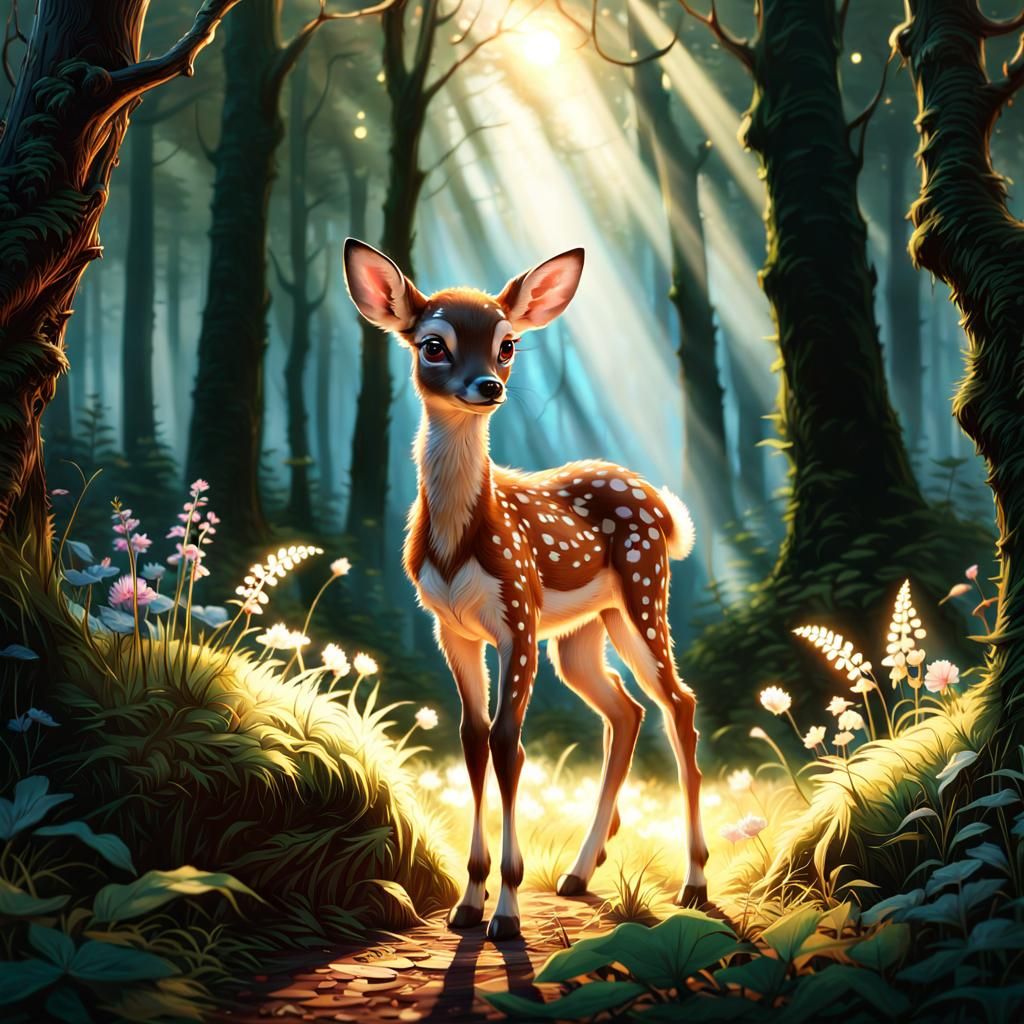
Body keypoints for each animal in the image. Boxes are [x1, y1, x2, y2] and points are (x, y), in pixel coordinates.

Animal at [343, 239, 709, 941]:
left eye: (507, 343)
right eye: (433, 345)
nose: (489, 386)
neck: (459, 543)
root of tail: (663, 506)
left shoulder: (517, 615)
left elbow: (509, 743)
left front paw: (506, 911)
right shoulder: (451, 627)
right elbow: (472, 738)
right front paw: (468, 902)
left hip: (644, 590)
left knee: (679, 702)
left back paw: (696, 881)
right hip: (586, 630)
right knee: (627, 709)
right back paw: (579, 871)